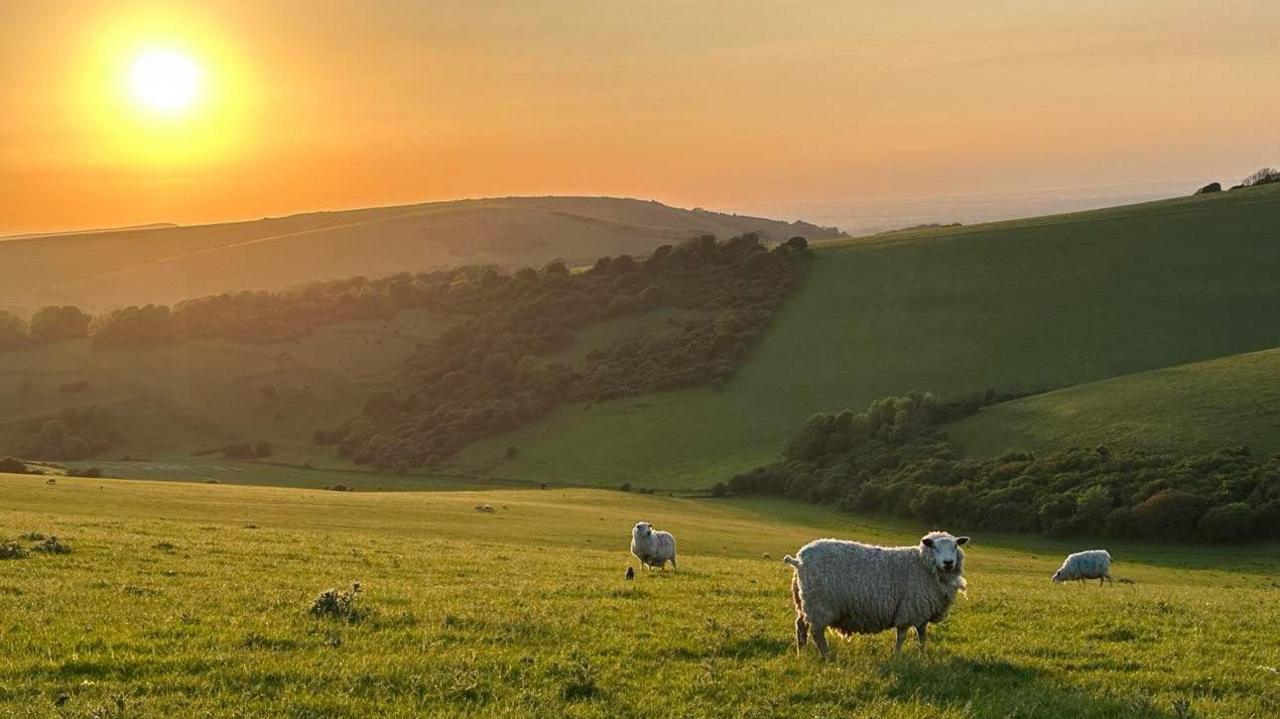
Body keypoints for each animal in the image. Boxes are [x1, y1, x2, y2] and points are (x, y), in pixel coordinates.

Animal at [778, 527, 967, 655]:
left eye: (955, 546)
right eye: (934, 546)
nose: (948, 562)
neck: (922, 564)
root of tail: (799, 560)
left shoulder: (921, 611)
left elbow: (922, 636)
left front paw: (922, 654)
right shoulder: (908, 609)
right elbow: (902, 636)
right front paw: (897, 656)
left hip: (803, 601)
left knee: (800, 625)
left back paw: (801, 652)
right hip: (819, 604)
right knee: (816, 632)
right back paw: (827, 656)